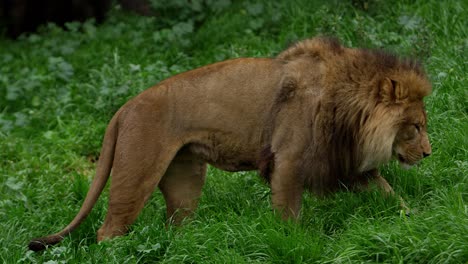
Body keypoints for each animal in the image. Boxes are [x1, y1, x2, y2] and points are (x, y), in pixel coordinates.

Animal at [28, 37, 432, 252]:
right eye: (415, 127)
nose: (429, 153)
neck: (347, 105)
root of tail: (123, 107)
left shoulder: (344, 162)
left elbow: (388, 192)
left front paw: (416, 220)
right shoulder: (288, 161)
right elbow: (289, 214)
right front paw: (293, 242)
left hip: (185, 179)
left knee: (175, 225)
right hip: (136, 172)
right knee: (108, 231)